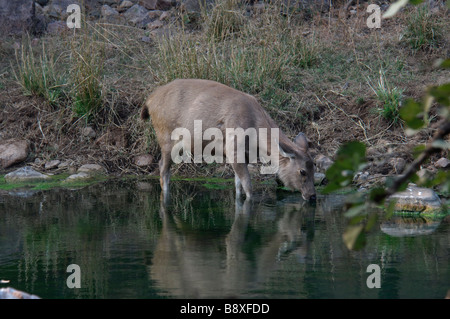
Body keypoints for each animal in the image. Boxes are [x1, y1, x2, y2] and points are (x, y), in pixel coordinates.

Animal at [142, 79, 316, 201]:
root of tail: (149, 100)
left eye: (314, 167)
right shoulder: (233, 149)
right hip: (165, 135)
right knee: (163, 168)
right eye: (302, 171)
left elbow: (238, 186)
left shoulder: (244, 155)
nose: (312, 196)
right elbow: (248, 187)